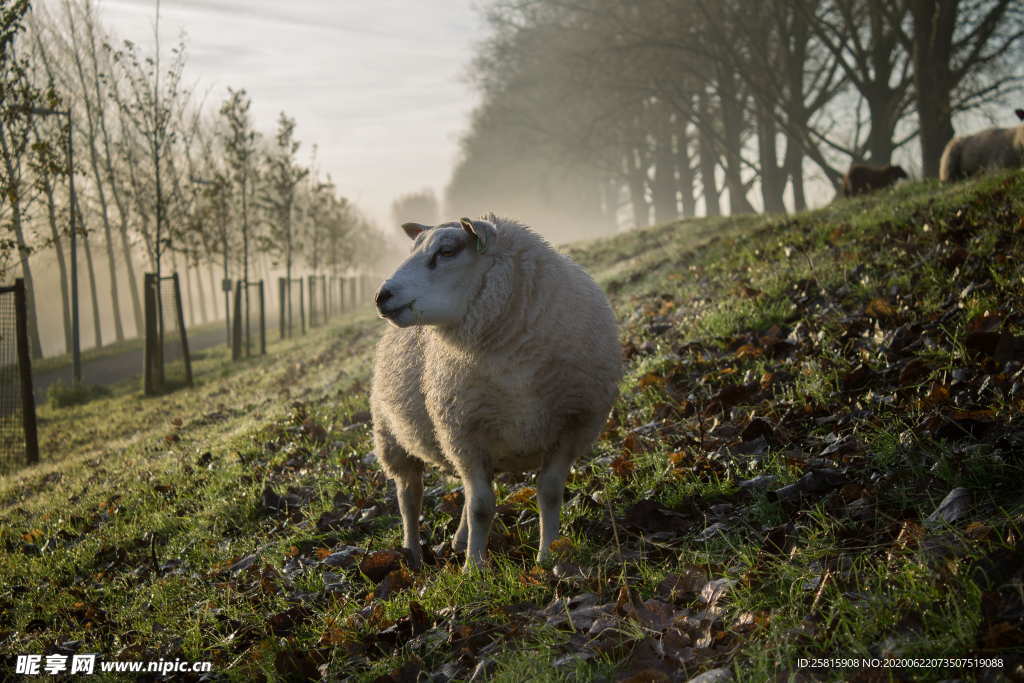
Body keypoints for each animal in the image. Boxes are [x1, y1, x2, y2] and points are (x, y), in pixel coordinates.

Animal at [372, 216, 618, 569]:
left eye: (446, 252)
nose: (382, 295)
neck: (515, 366)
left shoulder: (571, 427)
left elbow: (549, 492)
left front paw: (548, 556)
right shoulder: (463, 435)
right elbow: (481, 506)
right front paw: (474, 568)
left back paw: (459, 541)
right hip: (392, 437)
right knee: (409, 496)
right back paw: (413, 553)